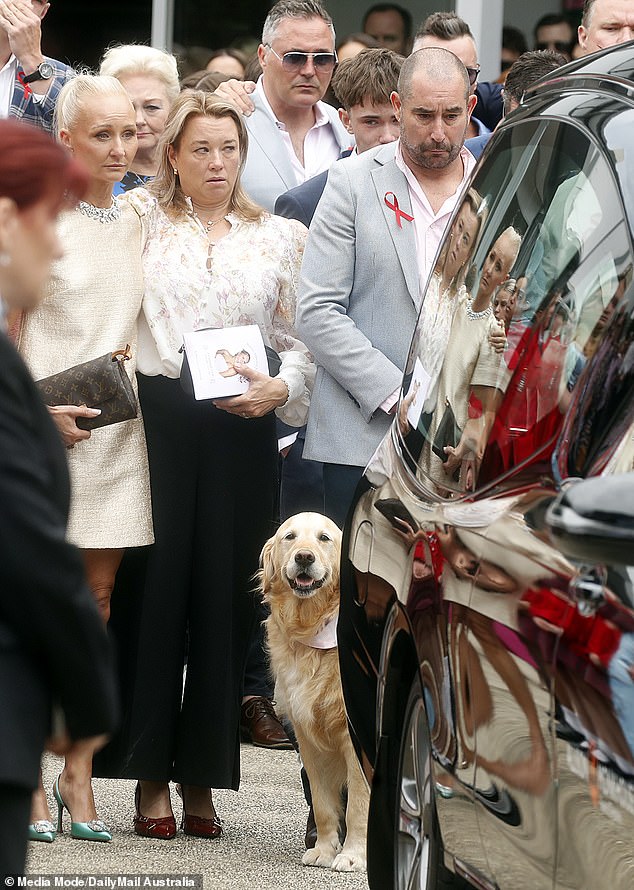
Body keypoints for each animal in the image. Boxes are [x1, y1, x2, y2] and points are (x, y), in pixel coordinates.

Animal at [258, 512, 368, 868]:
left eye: (324, 538)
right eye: (290, 537)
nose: (304, 558)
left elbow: (358, 804)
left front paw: (353, 855)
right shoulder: (307, 738)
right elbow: (322, 804)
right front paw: (324, 848)